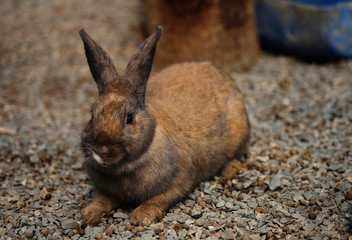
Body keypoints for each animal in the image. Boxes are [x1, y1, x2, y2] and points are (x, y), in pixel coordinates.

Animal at [80, 26, 250, 227]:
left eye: (129, 118)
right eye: (92, 114)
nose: (102, 151)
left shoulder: (179, 181)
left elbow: (158, 199)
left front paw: (142, 216)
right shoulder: (104, 190)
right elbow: (101, 199)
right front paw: (88, 214)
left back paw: (230, 169)